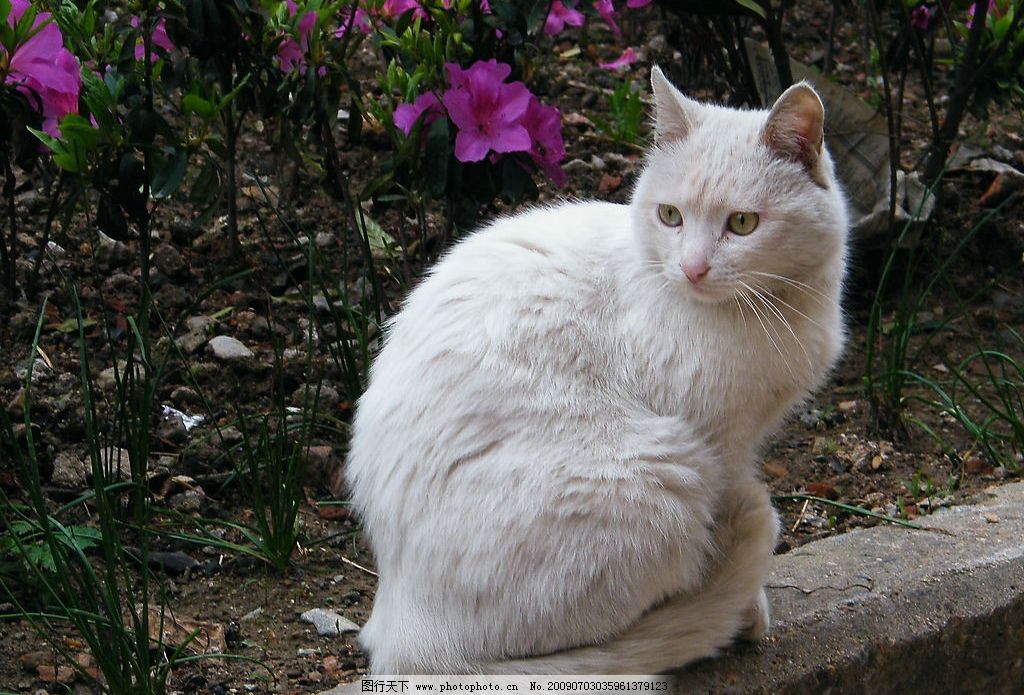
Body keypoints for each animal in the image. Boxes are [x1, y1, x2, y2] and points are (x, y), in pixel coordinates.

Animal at [344, 68, 847, 675]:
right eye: (670, 216)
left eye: (743, 224)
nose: (692, 268)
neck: (776, 310)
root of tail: (401, 633)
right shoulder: (723, 445)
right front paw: (749, 610)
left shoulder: (747, 441)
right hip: (668, 474)